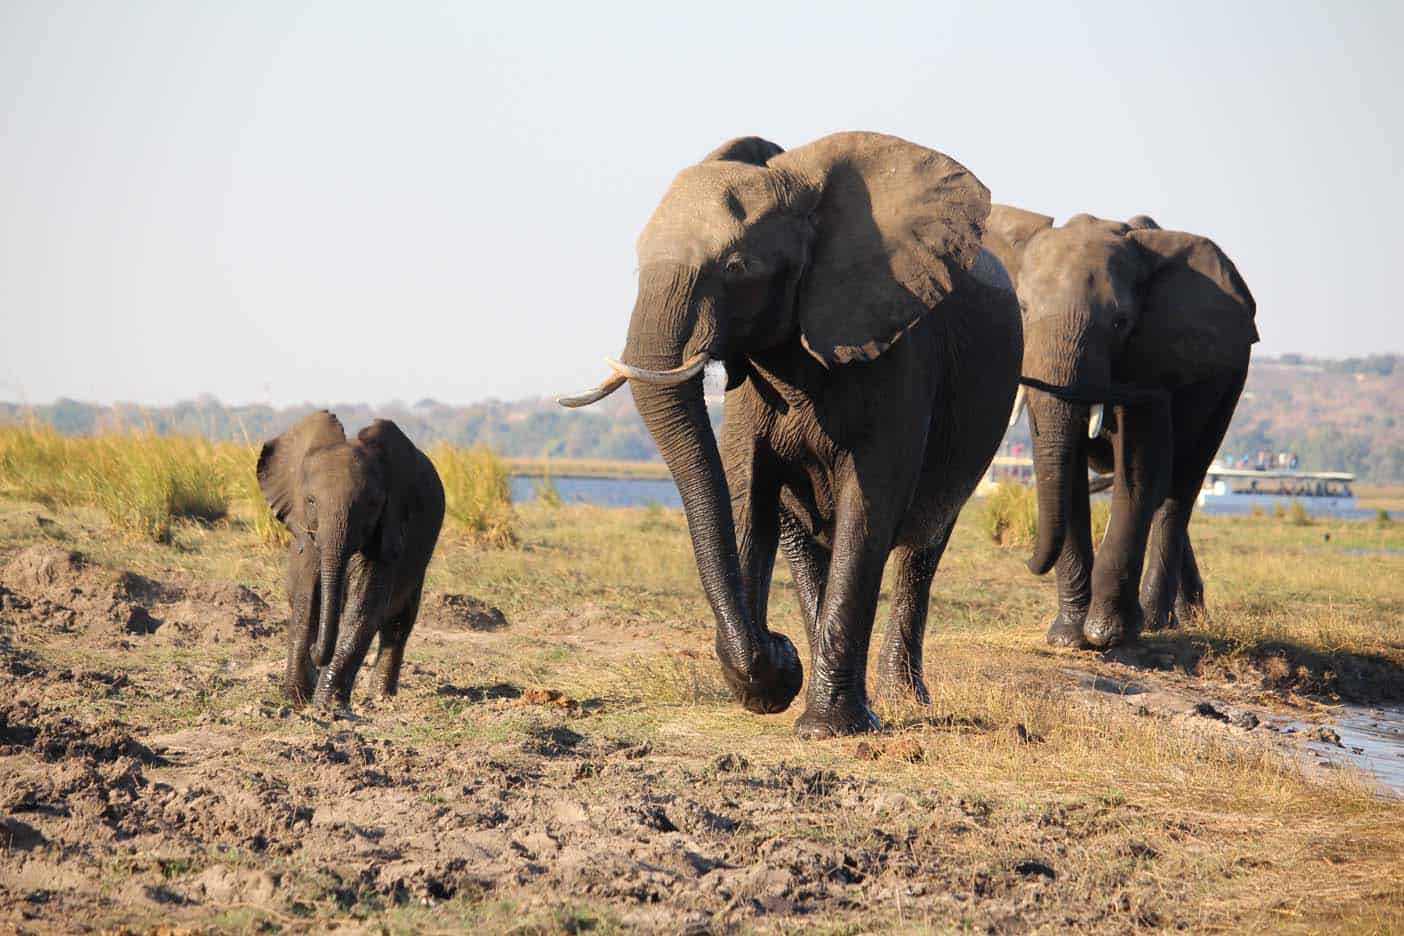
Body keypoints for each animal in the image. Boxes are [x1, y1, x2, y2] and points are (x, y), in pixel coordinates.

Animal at [258, 412, 443, 707]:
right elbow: (305, 599)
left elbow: (364, 607)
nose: (316, 651)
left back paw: (381, 699)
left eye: (372, 504)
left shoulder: (388, 530)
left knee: (399, 622)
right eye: (311, 501)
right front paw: (294, 700)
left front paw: (325, 706)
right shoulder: (307, 534)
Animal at [555, 131, 1022, 740]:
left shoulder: (899, 349)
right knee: (805, 542)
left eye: (737, 266)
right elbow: (745, 496)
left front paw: (826, 727)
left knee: (922, 549)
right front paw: (776, 684)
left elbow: (867, 509)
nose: (777, 648)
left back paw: (903, 700)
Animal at [988, 204, 1263, 648]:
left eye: (1120, 322)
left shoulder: (1151, 362)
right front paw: (1068, 637)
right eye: (1024, 309)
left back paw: (1156, 620)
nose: (1028, 560)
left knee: (1180, 488)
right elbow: (1067, 466)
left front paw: (1108, 636)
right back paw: (1184, 616)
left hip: (1230, 382)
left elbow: (1139, 464)